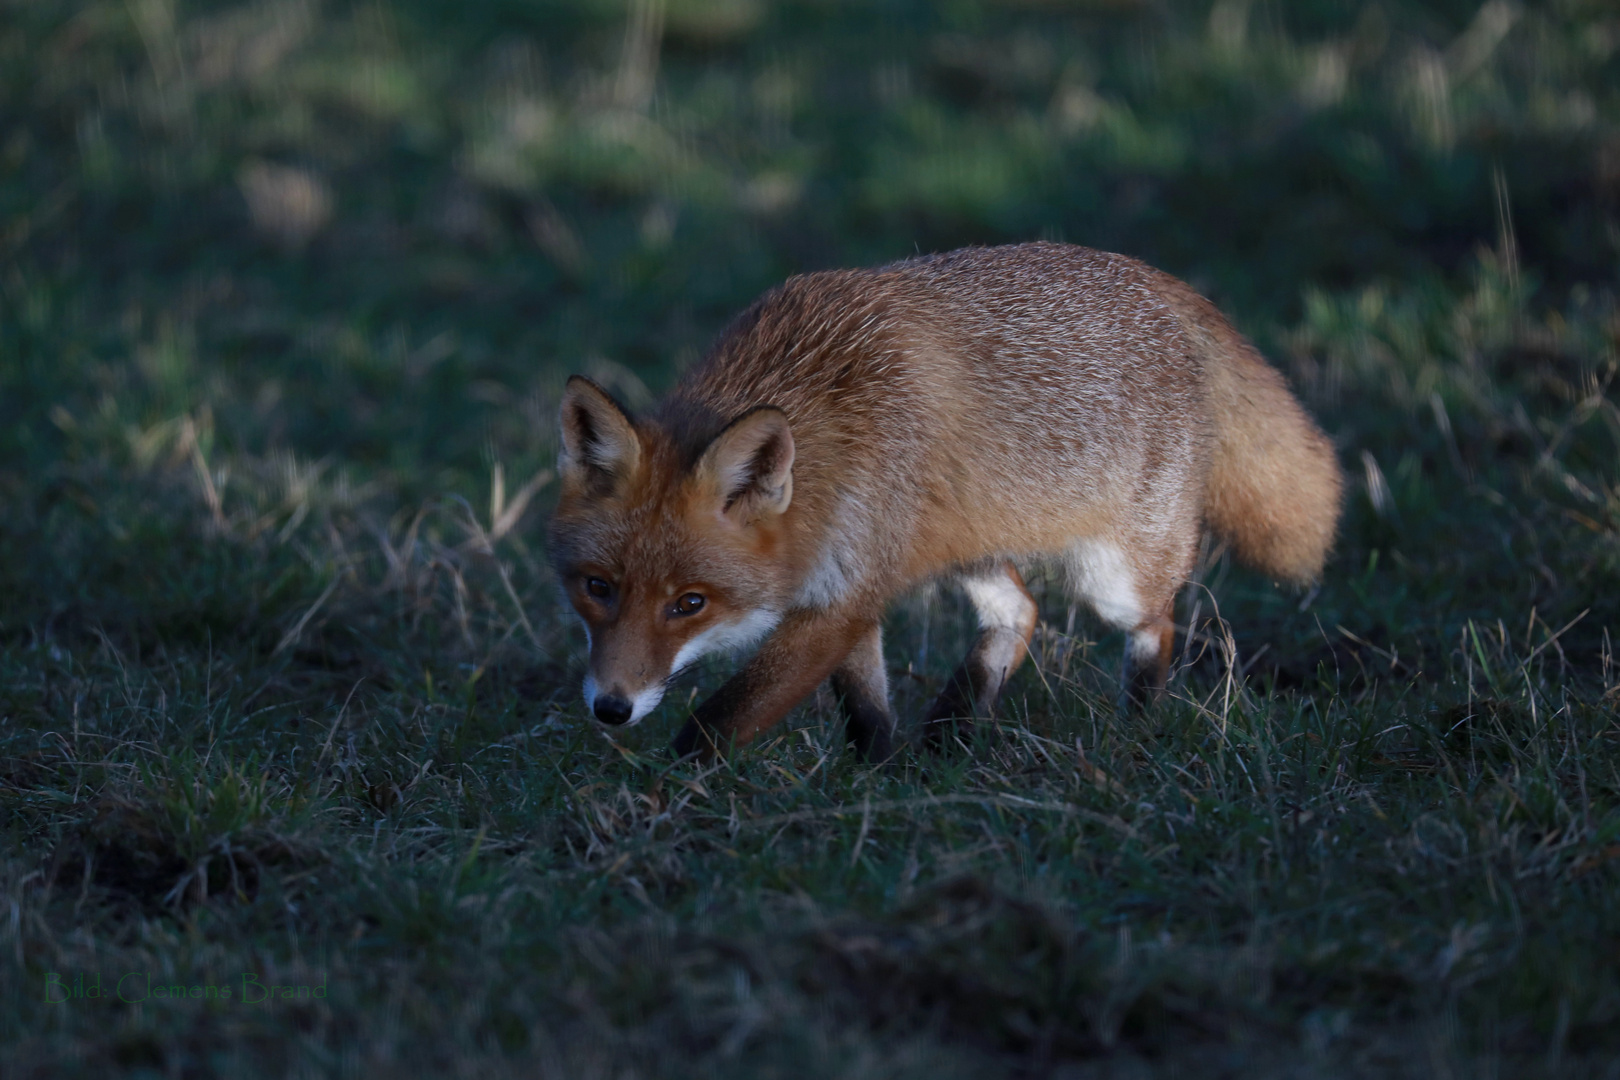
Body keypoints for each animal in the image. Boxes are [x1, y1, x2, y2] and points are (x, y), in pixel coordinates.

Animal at [544, 244, 1341, 761]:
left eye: (690, 604)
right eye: (597, 588)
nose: (611, 708)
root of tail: (1155, 279)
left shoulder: (842, 595)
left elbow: (715, 722)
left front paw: (664, 803)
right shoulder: (850, 583)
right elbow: (865, 706)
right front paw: (877, 777)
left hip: (1113, 578)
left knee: (1157, 626)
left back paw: (1135, 732)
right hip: (966, 545)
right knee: (1020, 612)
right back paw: (953, 730)